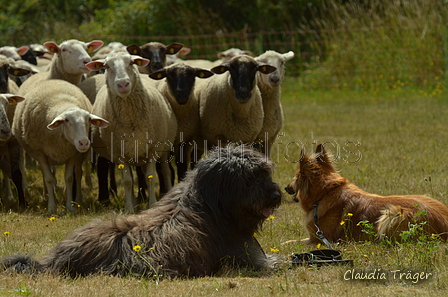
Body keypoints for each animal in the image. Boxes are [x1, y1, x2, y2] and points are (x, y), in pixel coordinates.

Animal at [1, 145, 282, 278]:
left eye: (265, 172)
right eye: (251, 178)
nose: (277, 196)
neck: (211, 204)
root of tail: (56, 260)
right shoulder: (247, 258)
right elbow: (277, 262)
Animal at [11, 78, 109, 213]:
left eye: (89, 120)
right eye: (66, 120)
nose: (84, 142)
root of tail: (53, 80)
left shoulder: (72, 153)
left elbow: (69, 178)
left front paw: (70, 207)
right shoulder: (40, 153)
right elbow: (49, 178)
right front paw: (52, 207)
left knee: (78, 173)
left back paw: (78, 200)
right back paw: (47, 194)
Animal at [86, 52, 178, 212]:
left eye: (131, 63)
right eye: (107, 66)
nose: (123, 84)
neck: (130, 120)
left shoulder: (152, 150)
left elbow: (150, 177)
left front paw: (152, 204)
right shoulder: (119, 153)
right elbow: (128, 181)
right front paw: (129, 208)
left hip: (163, 149)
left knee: (166, 171)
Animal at [288, 143, 448, 243]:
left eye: (295, 177)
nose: (285, 188)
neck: (326, 192)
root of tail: (444, 222)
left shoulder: (317, 239)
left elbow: (290, 241)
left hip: (392, 214)